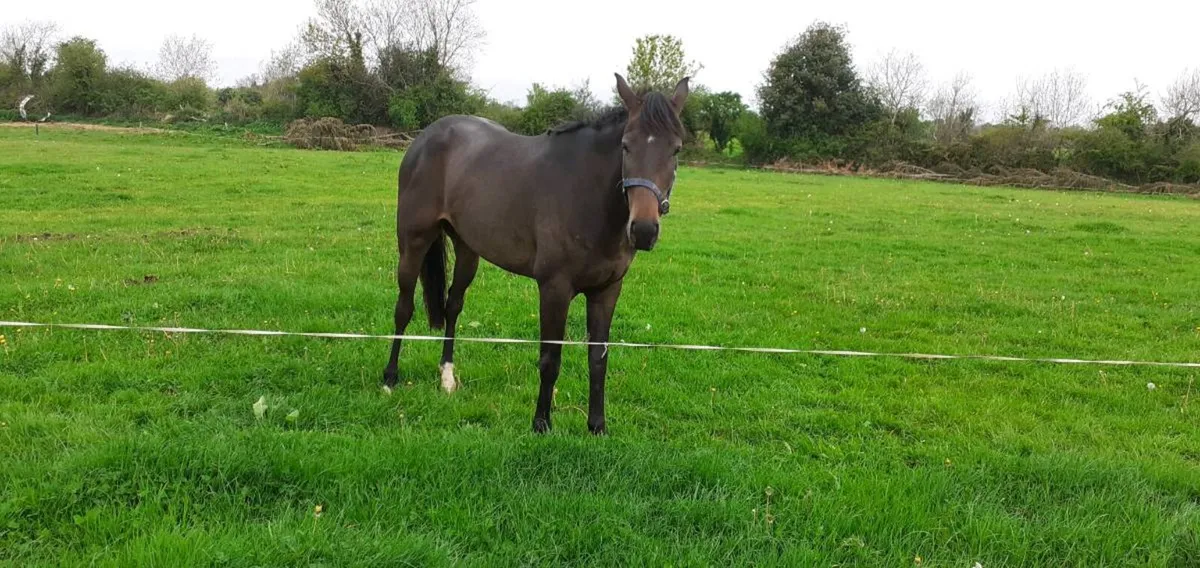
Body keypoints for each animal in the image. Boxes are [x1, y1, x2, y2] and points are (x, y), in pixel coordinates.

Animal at [382, 73, 690, 435]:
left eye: (676, 149)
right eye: (626, 146)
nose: (642, 230)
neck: (585, 194)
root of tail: (426, 137)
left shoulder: (607, 290)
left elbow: (598, 359)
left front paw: (597, 426)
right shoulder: (554, 288)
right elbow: (550, 359)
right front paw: (541, 422)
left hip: (468, 250)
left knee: (452, 305)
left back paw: (447, 378)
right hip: (413, 242)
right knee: (403, 308)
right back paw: (389, 378)